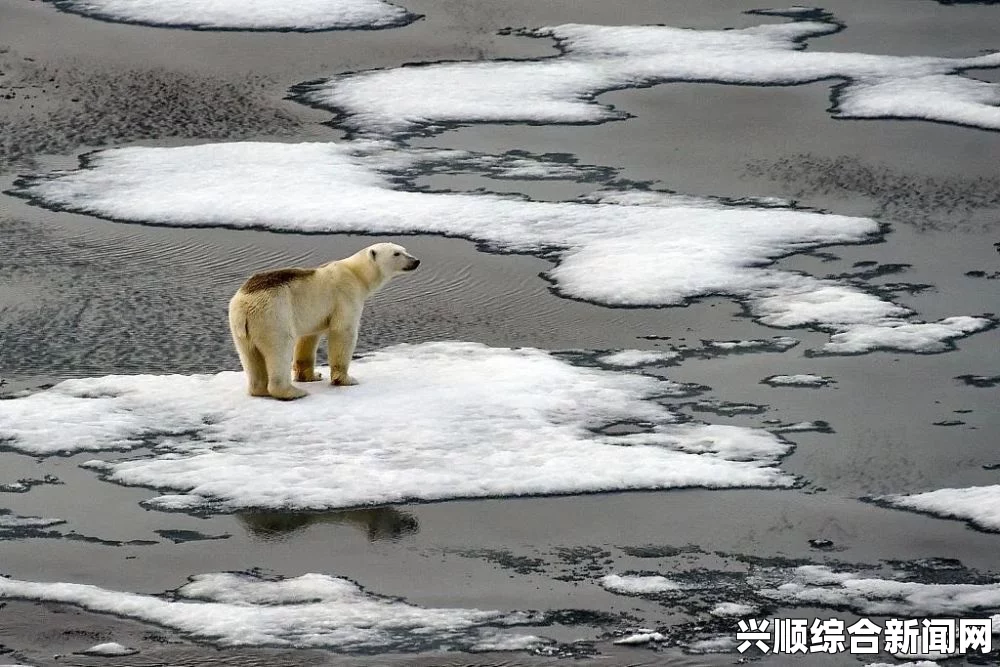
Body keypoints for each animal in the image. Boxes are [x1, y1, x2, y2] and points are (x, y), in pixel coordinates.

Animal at [229, 245, 420, 402]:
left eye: (404, 249)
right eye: (397, 253)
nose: (416, 260)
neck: (356, 273)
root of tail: (244, 305)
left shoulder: (313, 315)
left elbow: (309, 338)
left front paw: (313, 375)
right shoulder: (346, 296)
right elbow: (343, 331)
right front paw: (347, 379)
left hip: (241, 328)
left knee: (249, 355)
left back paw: (259, 389)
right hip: (274, 315)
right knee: (280, 348)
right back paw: (293, 392)